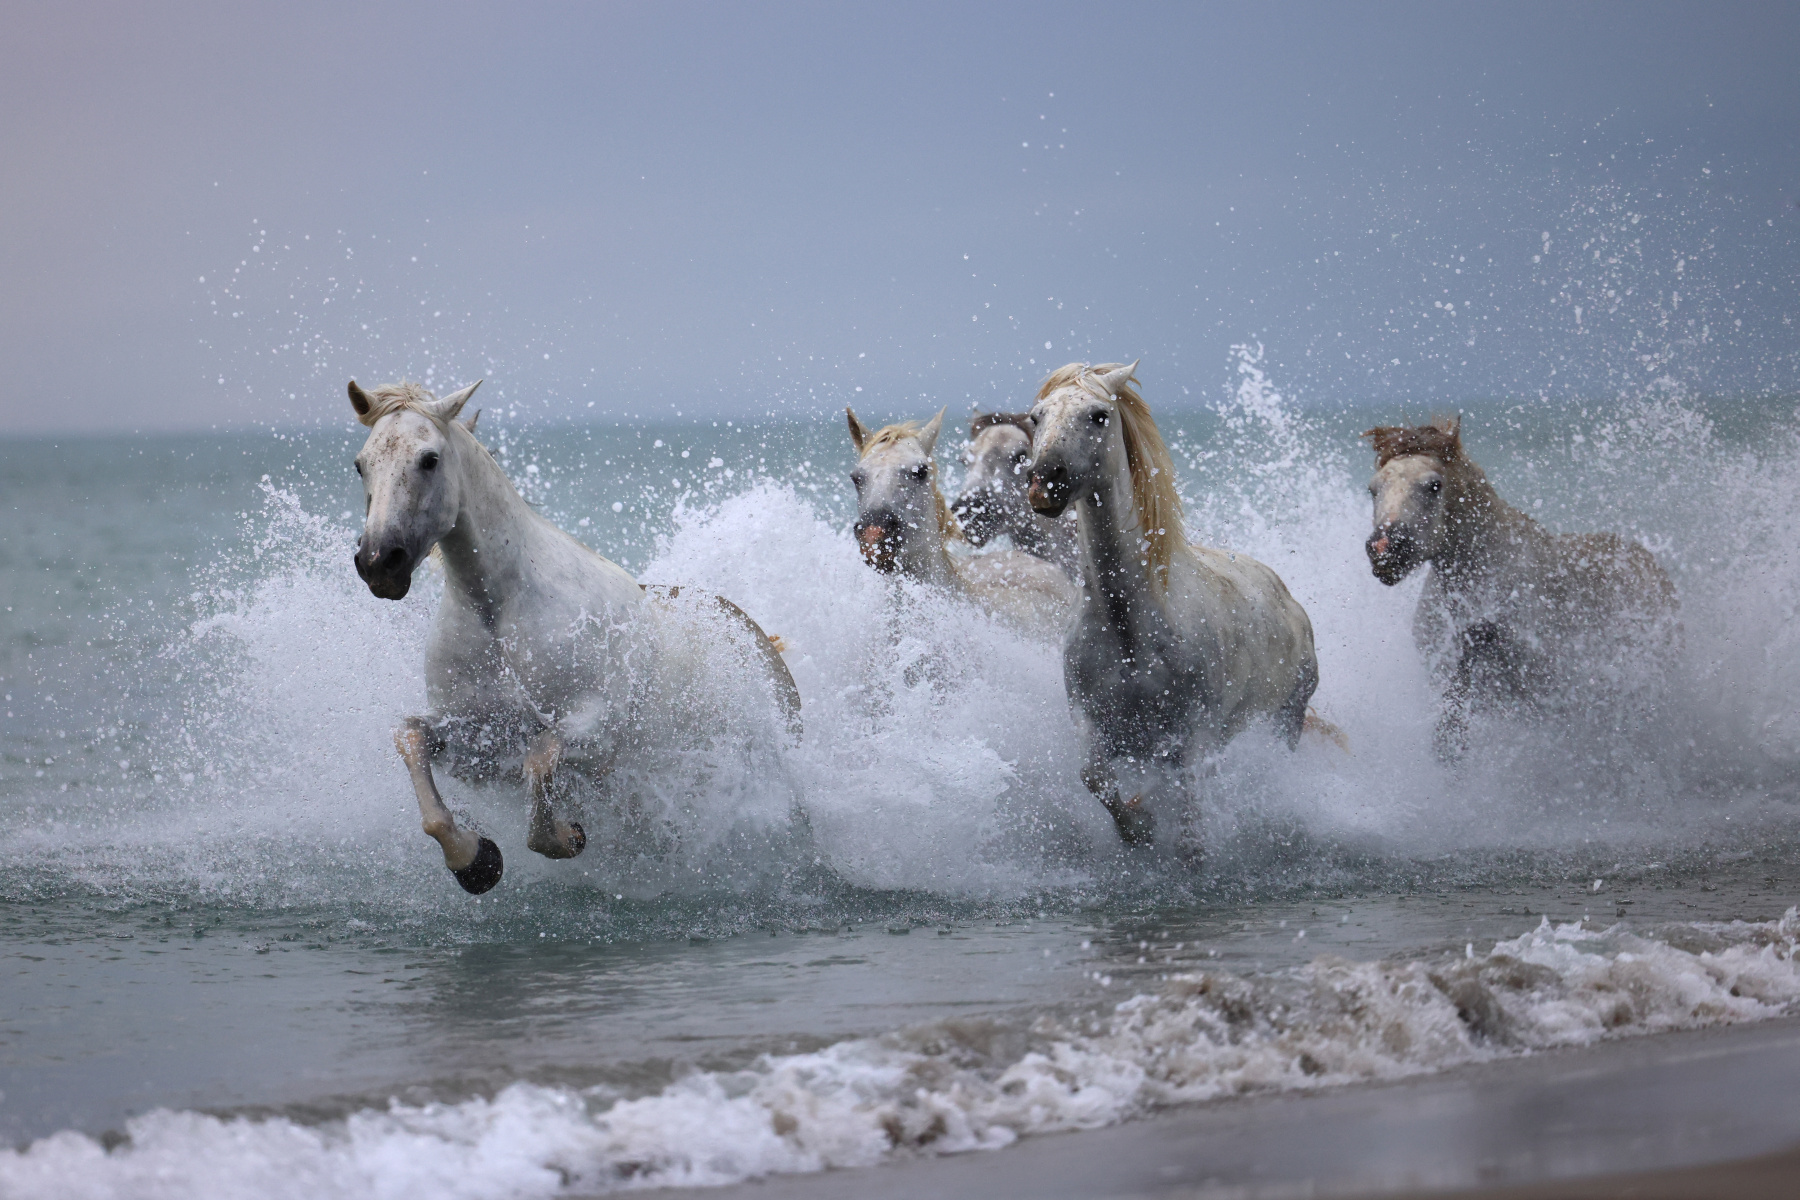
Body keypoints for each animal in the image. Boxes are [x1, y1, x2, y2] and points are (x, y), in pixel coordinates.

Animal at [349, 378, 801, 894]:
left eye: (429, 459)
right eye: (361, 463)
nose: (379, 562)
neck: (501, 616)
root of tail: (761, 640)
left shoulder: (596, 729)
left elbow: (542, 757)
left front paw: (566, 836)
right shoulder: (477, 739)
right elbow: (410, 739)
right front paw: (475, 859)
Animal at [1025, 362, 1319, 849]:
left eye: (1099, 415)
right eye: (1036, 417)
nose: (1045, 482)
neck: (1131, 630)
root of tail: (1288, 599)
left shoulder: (1193, 740)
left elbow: (1189, 828)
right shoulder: (1092, 723)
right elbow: (1094, 777)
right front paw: (1139, 828)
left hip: (1286, 721)